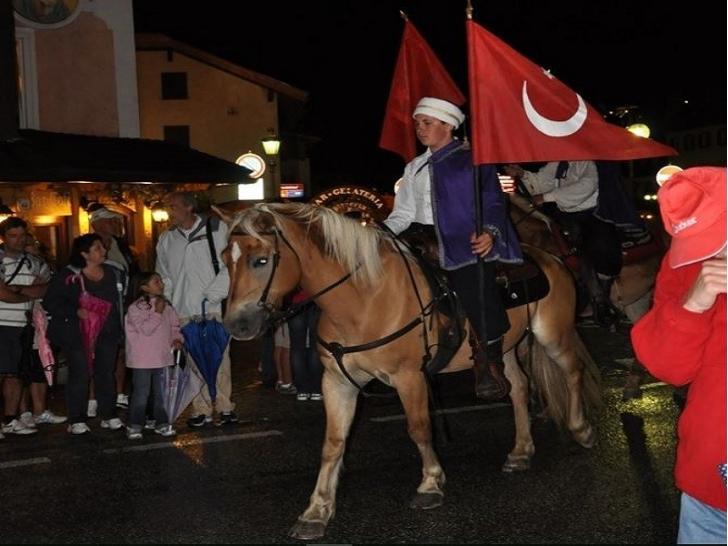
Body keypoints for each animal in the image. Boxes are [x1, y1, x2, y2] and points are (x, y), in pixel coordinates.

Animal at [218, 202, 604, 536]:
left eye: (261, 260)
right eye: (224, 260)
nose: (236, 325)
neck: (364, 299)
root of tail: (551, 258)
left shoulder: (409, 378)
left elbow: (419, 429)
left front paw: (431, 483)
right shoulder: (337, 383)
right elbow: (333, 443)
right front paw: (316, 511)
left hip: (553, 335)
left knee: (572, 371)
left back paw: (581, 429)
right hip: (503, 349)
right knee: (520, 388)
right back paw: (521, 452)